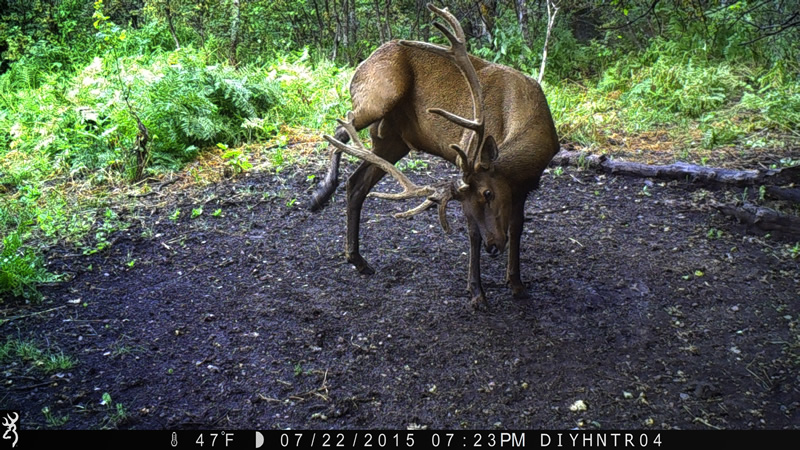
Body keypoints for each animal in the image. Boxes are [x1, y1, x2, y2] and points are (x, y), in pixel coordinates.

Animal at [309, 4, 559, 309]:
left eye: (489, 194)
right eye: (481, 196)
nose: (493, 246)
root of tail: (362, 63)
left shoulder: (523, 187)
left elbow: (517, 227)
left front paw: (516, 283)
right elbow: (473, 234)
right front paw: (477, 292)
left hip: (393, 141)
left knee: (356, 181)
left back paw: (357, 259)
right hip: (378, 96)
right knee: (338, 129)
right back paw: (320, 194)